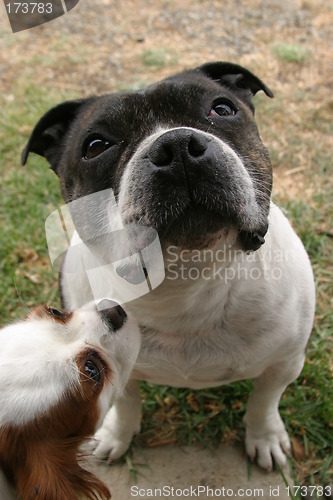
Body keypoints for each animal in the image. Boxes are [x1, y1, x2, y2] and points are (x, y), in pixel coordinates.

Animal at [22, 60, 314, 470]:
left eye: (222, 109)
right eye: (96, 146)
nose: (176, 146)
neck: (184, 288)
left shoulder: (285, 362)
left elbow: (264, 401)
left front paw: (265, 437)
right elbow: (126, 403)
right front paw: (115, 436)